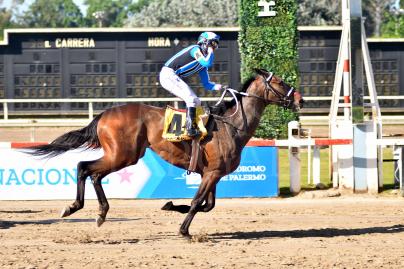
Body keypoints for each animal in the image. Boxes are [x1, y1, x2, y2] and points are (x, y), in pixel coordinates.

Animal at [25, 68, 302, 234]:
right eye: (279, 82)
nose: (299, 98)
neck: (231, 126)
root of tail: (104, 114)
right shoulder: (212, 173)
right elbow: (198, 202)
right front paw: (184, 230)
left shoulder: (212, 173)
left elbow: (207, 205)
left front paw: (170, 206)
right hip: (122, 155)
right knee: (85, 168)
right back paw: (76, 208)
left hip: (123, 156)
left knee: (93, 174)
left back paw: (99, 212)